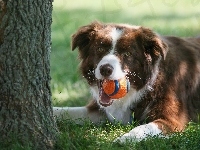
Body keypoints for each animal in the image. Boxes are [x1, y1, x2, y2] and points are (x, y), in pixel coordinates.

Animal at [53, 21, 200, 143]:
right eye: (100, 49)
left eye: (127, 54)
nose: (105, 69)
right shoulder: (100, 112)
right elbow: (64, 110)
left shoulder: (172, 120)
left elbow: (143, 128)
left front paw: (124, 139)